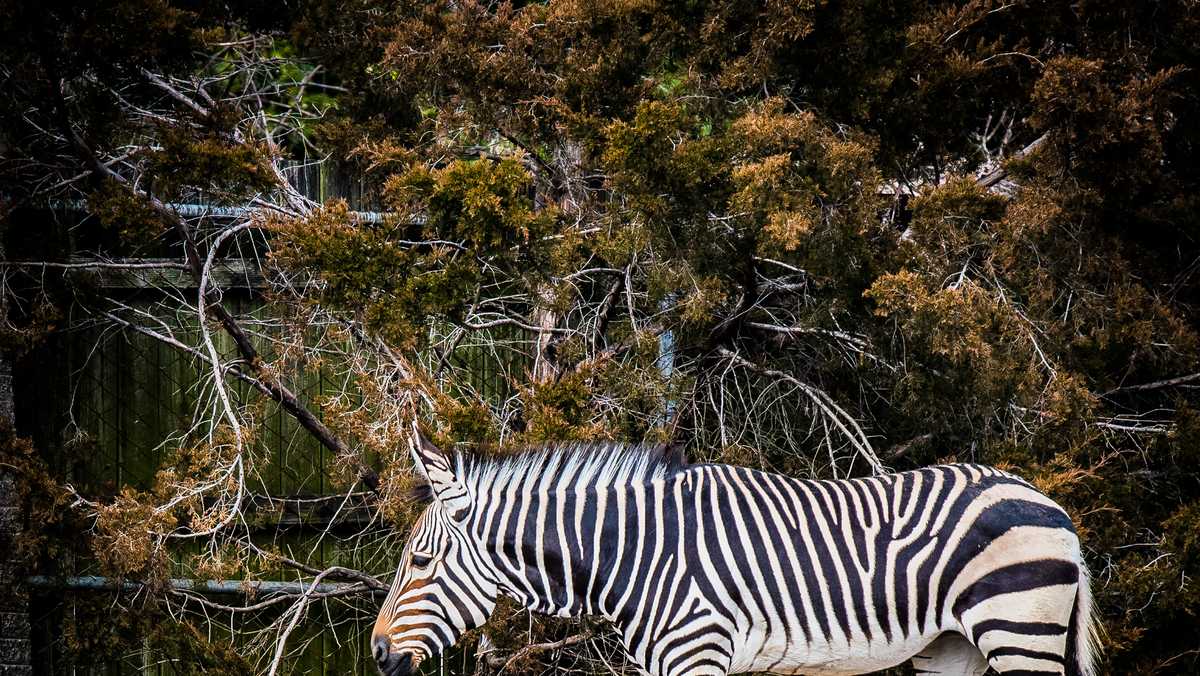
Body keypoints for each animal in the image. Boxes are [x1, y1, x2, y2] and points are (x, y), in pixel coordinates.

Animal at [372, 434, 1099, 676]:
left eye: (419, 564)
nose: (376, 654)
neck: (634, 551)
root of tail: (1049, 501)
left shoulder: (698, 654)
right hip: (952, 648)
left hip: (1017, 627)